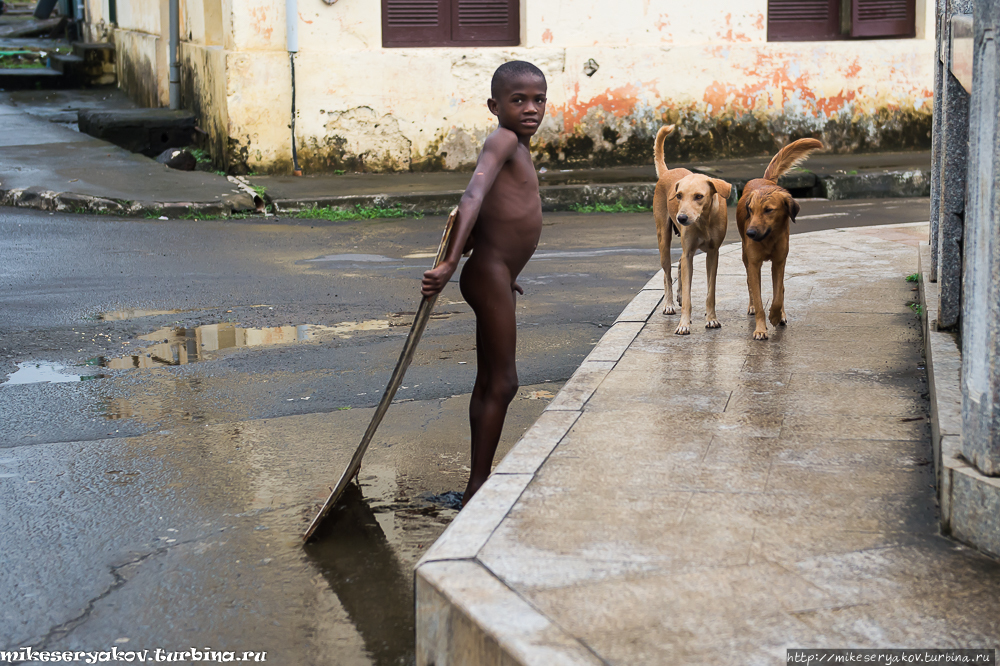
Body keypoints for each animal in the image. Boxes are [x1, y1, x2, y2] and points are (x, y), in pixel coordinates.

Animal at [652, 124, 732, 334]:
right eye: (679, 195)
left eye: (699, 196)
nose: (681, 218)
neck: (703, 220)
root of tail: (667, 173)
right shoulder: (689, 252)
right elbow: (688, 293)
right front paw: (684, 324)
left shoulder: (713, 253)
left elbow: (711, 291)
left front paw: (711, 318)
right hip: (663, 238)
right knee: (667, 272)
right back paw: (669, 303)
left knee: (679, 264)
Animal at [740, 138, 824, 340]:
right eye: (750, 210)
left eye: (768, 210)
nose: (750, 233)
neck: (768, 238)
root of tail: (765, 180)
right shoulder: (754, 264)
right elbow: (758, 297)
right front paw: (760, 328)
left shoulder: (779, 262)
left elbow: (778, 294)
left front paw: (776, 315)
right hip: (745, 257)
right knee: (750, 285)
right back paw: (752, 306)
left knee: (782, 289)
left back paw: (782, 315)